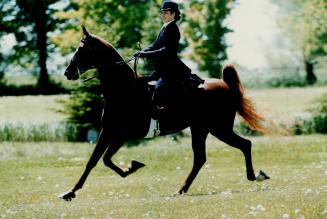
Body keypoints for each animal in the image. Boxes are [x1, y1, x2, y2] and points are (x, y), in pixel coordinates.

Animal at [60, 25, 268, 200]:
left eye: (82, 49)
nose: (68, 72)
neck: (124, 90)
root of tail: (225, 86)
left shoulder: (117, 133)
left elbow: (97, 160)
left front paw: (72, 191)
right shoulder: (113, 132)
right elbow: (101, 160)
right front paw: (130, 167)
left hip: (218, 129)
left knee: (244, 145)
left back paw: (255, 175)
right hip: (201, 129)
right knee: (202, 158)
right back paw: (182, 189)